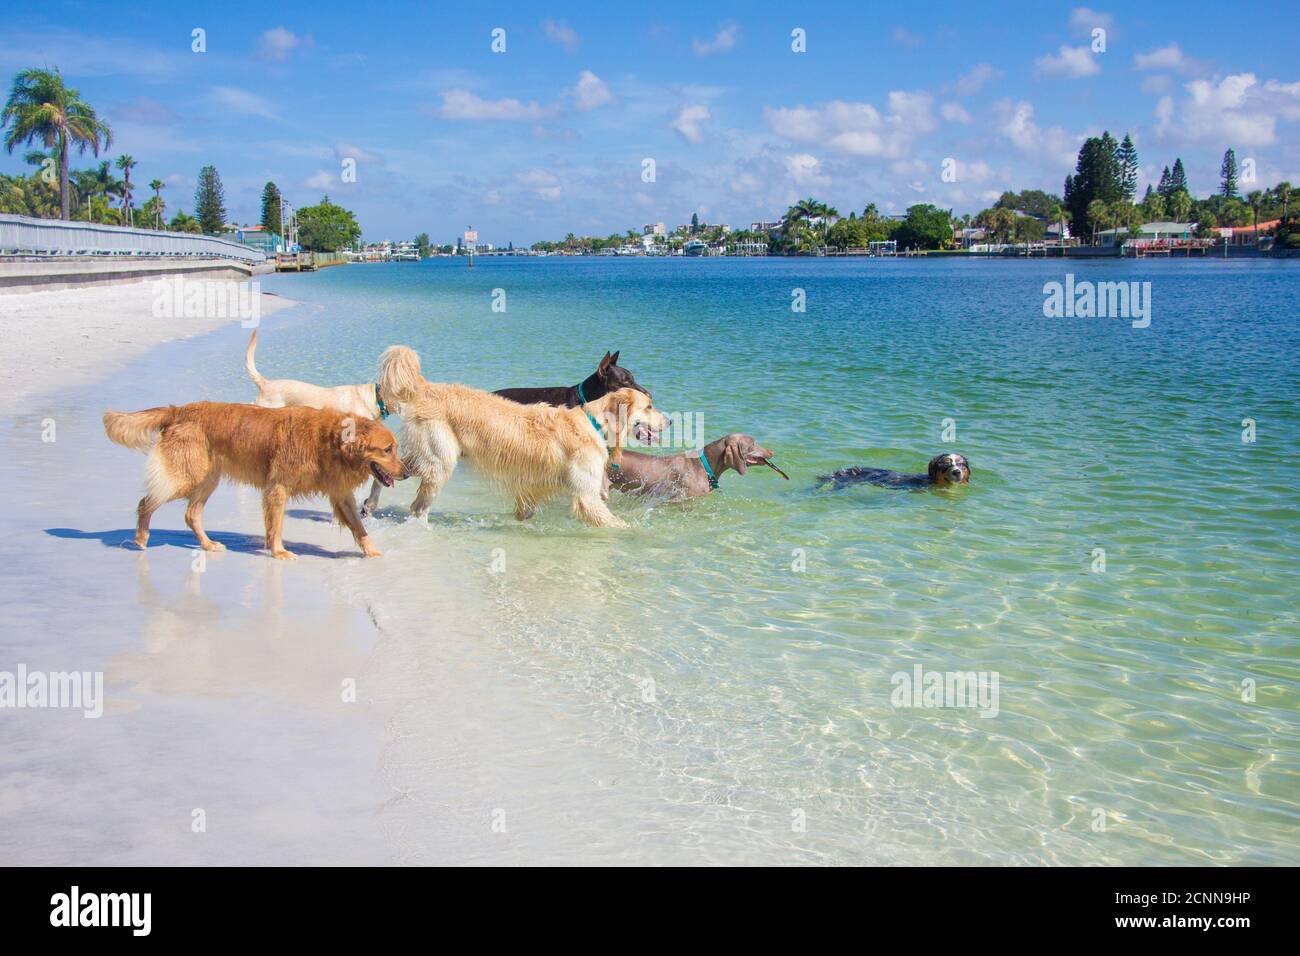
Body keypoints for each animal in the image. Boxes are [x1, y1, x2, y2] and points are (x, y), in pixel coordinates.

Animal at [102, 398, 405, 561]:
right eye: (387, 449)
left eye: (396, 448)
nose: (407, 472)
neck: (328, 440)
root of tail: (179, 409)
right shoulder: (278, 487)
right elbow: (276, 526)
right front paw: (279, 552)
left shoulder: (340, 495)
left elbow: (359, 527)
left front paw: (372, 551)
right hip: (185, 475)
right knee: (146, 502)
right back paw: (141, 537)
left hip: (208, 479)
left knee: (191, 514)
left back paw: (207, 544)